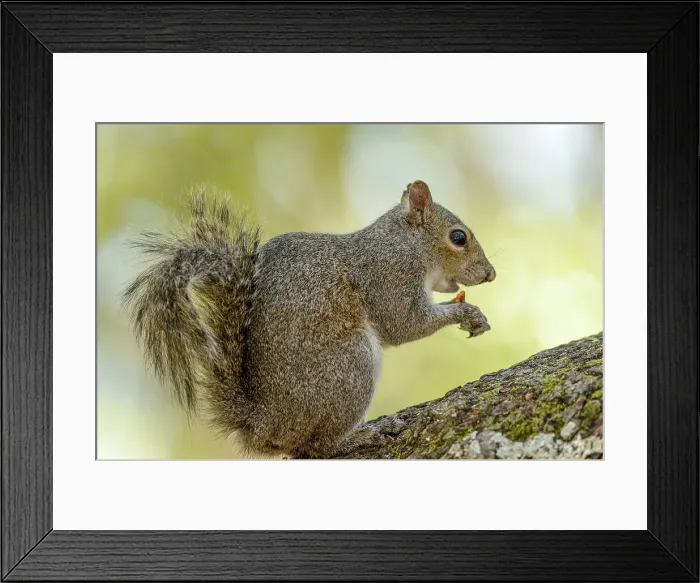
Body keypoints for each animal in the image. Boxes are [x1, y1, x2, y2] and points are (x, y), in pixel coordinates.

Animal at [122, 180, 496, 459]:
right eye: (458, 237)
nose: (490, 274)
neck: (403, 243)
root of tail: (262, 423)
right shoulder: (389, 275)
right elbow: (405, 323)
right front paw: (467, 313)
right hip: (350, 367)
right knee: (316, 446)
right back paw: (362, 435)